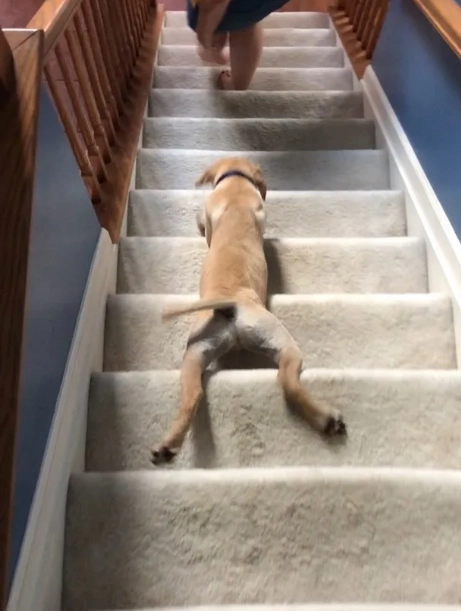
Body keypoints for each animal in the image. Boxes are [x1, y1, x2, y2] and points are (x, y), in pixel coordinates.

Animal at [151, 157, 346, 465]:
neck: (235, 181)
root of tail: (232, 304)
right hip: (278, 341)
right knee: (287, 382)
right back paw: (327, 419)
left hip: (197, 352)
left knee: (194, 394)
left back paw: (168, 446)